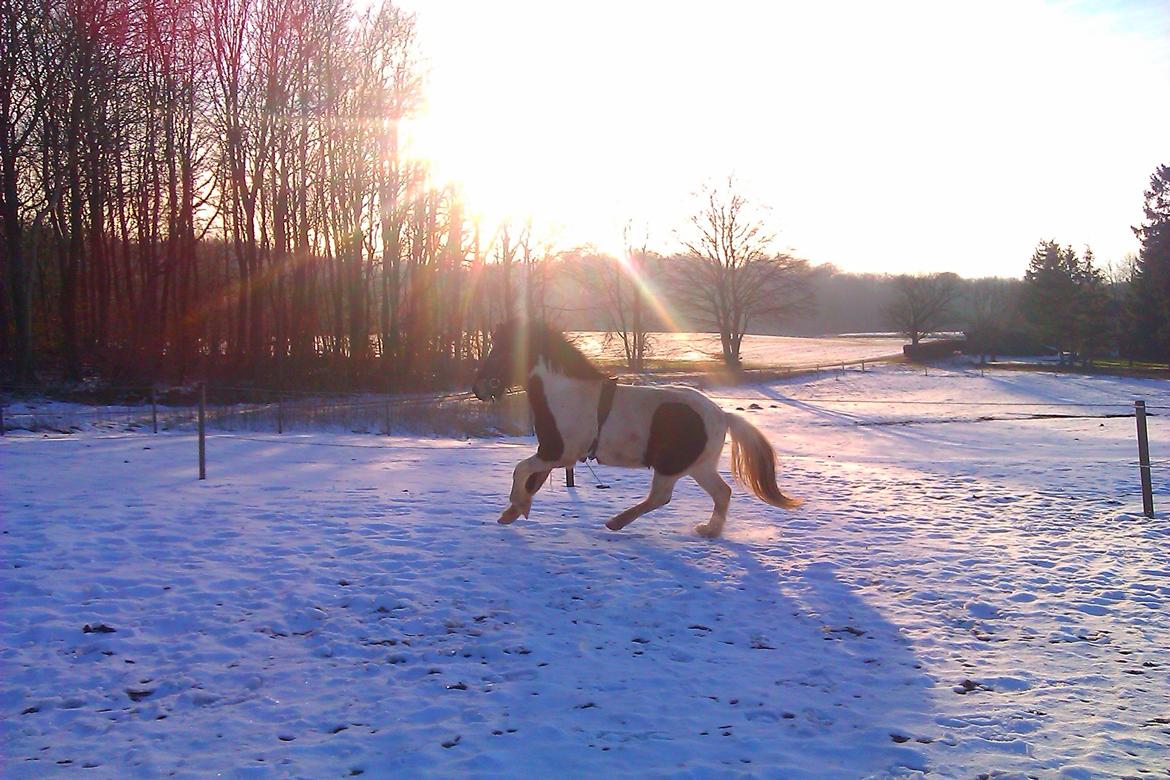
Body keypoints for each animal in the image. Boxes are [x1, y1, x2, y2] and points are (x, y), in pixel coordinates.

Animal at [470, 322, 800, 537]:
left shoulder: (557, 453)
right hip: (699, 467)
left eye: (502, 350)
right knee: (722, 493)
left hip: (671, 467)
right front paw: (512, 513)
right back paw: (709, 530)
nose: (478, 388)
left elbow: (521, 471)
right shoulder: (554, 455)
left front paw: (517, 508)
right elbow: (532, 480)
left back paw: (616, 522)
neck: (565, 393)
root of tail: (721, 415)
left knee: (662, 497)